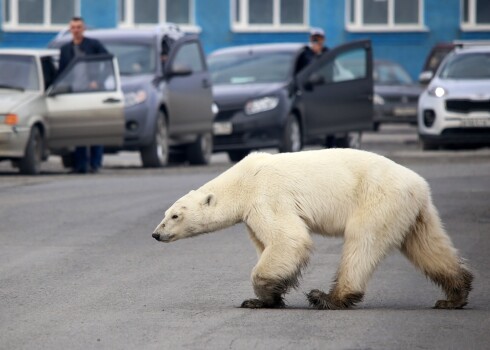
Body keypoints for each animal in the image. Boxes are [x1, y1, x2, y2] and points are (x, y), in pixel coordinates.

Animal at [152, 148, 470, 308]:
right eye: (166, 213)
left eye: (175, 216)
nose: (156, 233)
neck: (242, 180)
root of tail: (419, 185)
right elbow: (267, 244)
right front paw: (269, 297)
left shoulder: (266, 196)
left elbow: (288, 238)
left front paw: (261, 296)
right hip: (413, 211)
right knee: (427, 246)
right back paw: (455, 294)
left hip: (378, 199)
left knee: (361, 242)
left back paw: (329, 297)